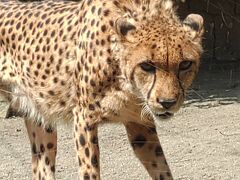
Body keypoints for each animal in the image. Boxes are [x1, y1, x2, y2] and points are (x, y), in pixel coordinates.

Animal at [0, 0, 203, 179]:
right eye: (146, 66)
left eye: (185, 64)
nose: (167, 103)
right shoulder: (83, 118)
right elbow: (90, 171)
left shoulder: (140, 123)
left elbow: (162, 169)